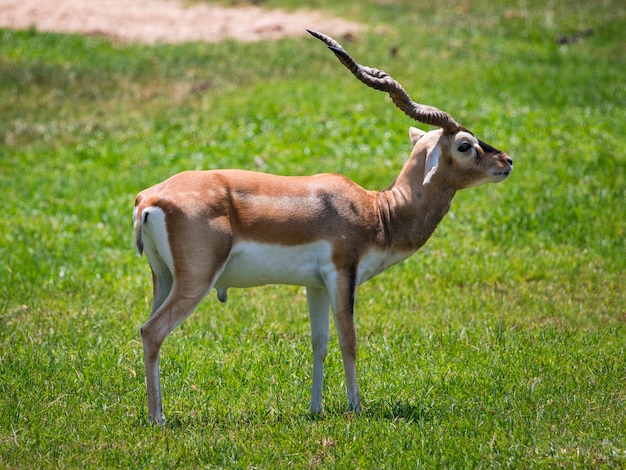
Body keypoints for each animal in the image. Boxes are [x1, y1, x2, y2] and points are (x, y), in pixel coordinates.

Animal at [134, 30, 510, 426]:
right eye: (465, 145)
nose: (507, 161)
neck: (378, 210)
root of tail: (149, 199)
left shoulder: (313, 285)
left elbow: (319, 342)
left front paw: (316, 408)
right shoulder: (342, 274)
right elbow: (350, 341)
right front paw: (356, 408)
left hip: (164, 279)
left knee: (145, 328)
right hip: (196, 281)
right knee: (152, 331)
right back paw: (158, 419)